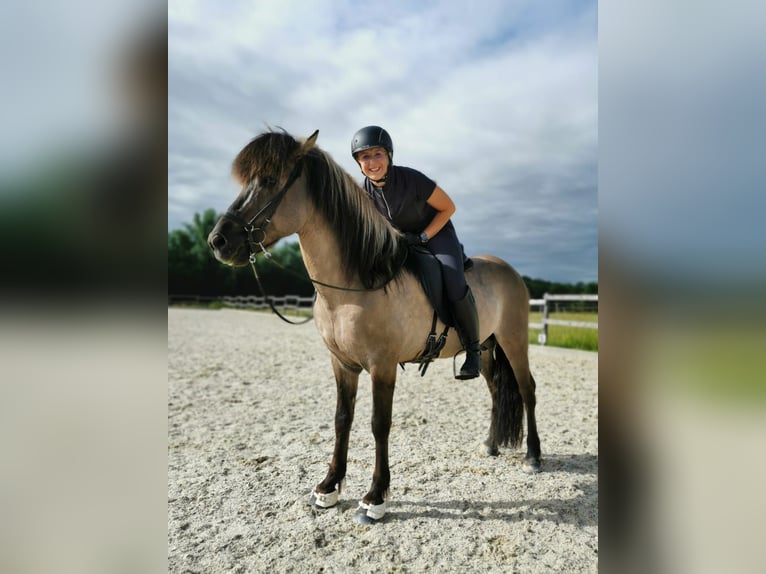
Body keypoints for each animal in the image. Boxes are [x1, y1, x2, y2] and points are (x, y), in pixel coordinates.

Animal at [208, 129, 541, 524]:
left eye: (271, 180)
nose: (218, 241)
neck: (355, 284)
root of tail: (509, 270)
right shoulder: (342, 364)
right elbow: (342, 419)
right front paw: (328, 488)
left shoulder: (382, 366)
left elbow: (379, 424)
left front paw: (375, 497)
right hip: (488, 346)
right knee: (495, 390)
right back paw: (490, 444)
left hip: (514, 340)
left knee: (527, 389)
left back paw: (534, 456)